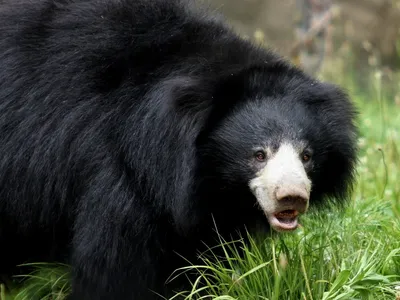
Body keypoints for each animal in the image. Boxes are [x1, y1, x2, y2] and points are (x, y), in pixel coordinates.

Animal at [0, 0, 356, 298]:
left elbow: (202, 257)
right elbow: (114, 261)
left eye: (306, 156)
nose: (292, 197)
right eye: (258, 154)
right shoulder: (118, 170)